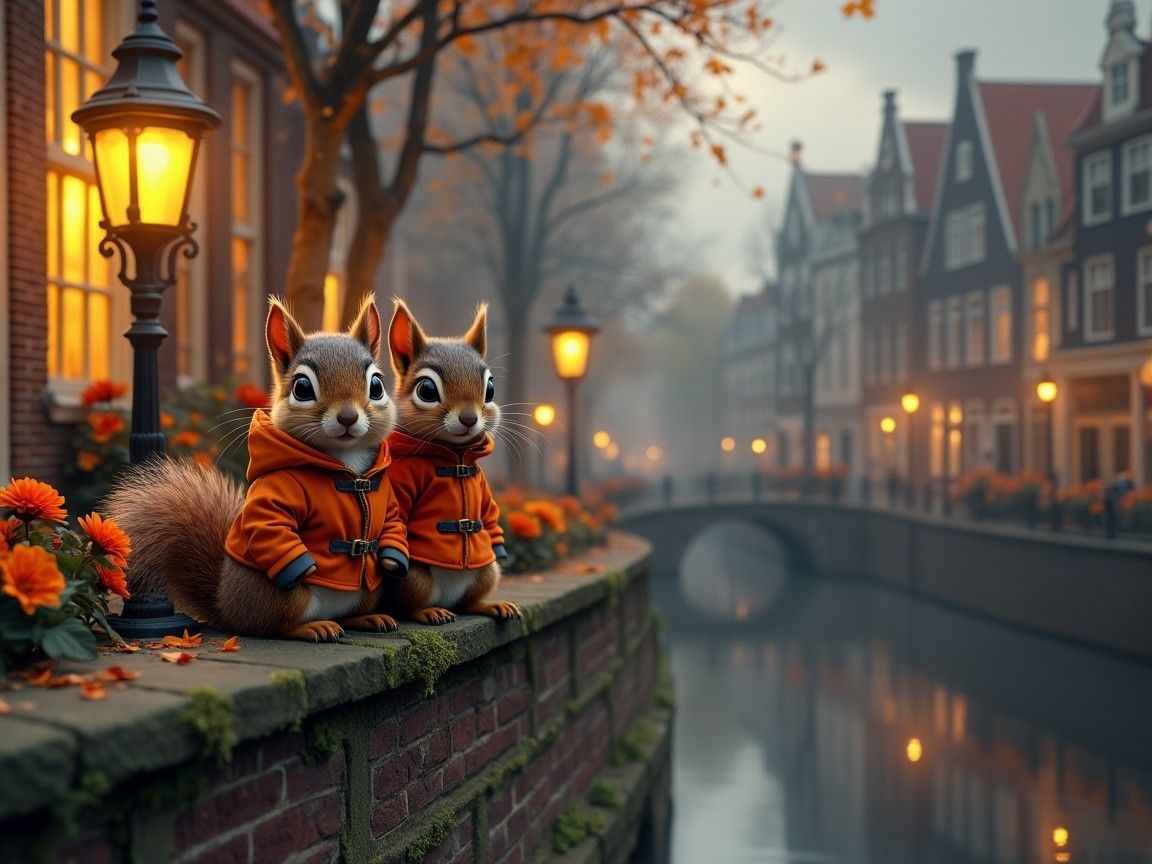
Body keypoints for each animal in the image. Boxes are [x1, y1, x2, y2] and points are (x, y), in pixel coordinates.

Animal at [104, 296, 410, 642]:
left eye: (377, 385)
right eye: (302, 388)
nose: (347, 417)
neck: (347, 462)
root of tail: (226, 608)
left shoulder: (387, 501)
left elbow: (392, 521)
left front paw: (393, 558)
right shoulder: (279, 493)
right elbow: (269, 523)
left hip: (369, 590)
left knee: (348, 614)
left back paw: (369, 618)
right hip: (280, 592)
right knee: (273, 625)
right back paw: (312, 627)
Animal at [382, 298, 521, 626]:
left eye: (490, 389)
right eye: (426, 390)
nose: (469, 419)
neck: (455, 455)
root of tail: (448, 598)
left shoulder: (482, 487)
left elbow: (489, 512)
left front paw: (502, 548)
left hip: (486, 571)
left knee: (468, 602)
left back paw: (491, 605)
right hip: (414, 578)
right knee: (410, 604)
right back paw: (430, 611)